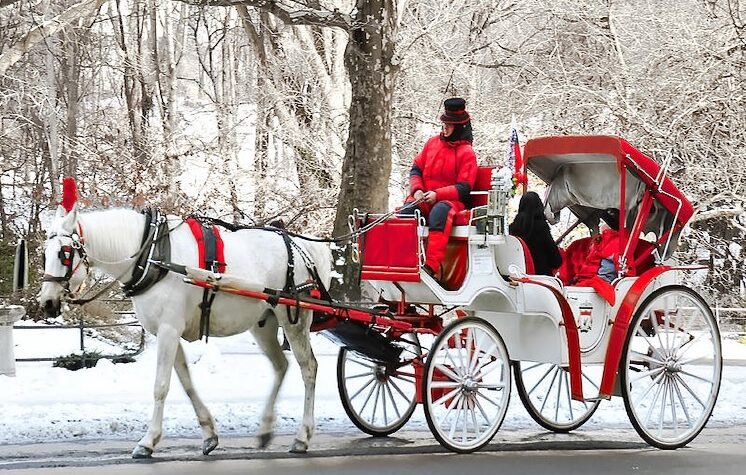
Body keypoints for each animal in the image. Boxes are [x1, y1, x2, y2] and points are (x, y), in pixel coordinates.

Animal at [38, 204, 332, 458]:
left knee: (308, 368)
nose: (47, 303)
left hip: (293, 318)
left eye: (65, 252)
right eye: (44, 253)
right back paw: (265, 429)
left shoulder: (169, 329)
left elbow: (161, 386)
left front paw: (148, 441)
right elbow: (186, 382)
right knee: (281, 365)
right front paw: (209, 434)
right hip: (264, 323)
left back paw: (302, 436)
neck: (152, 255)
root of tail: (301, 246)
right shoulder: (166, 331)